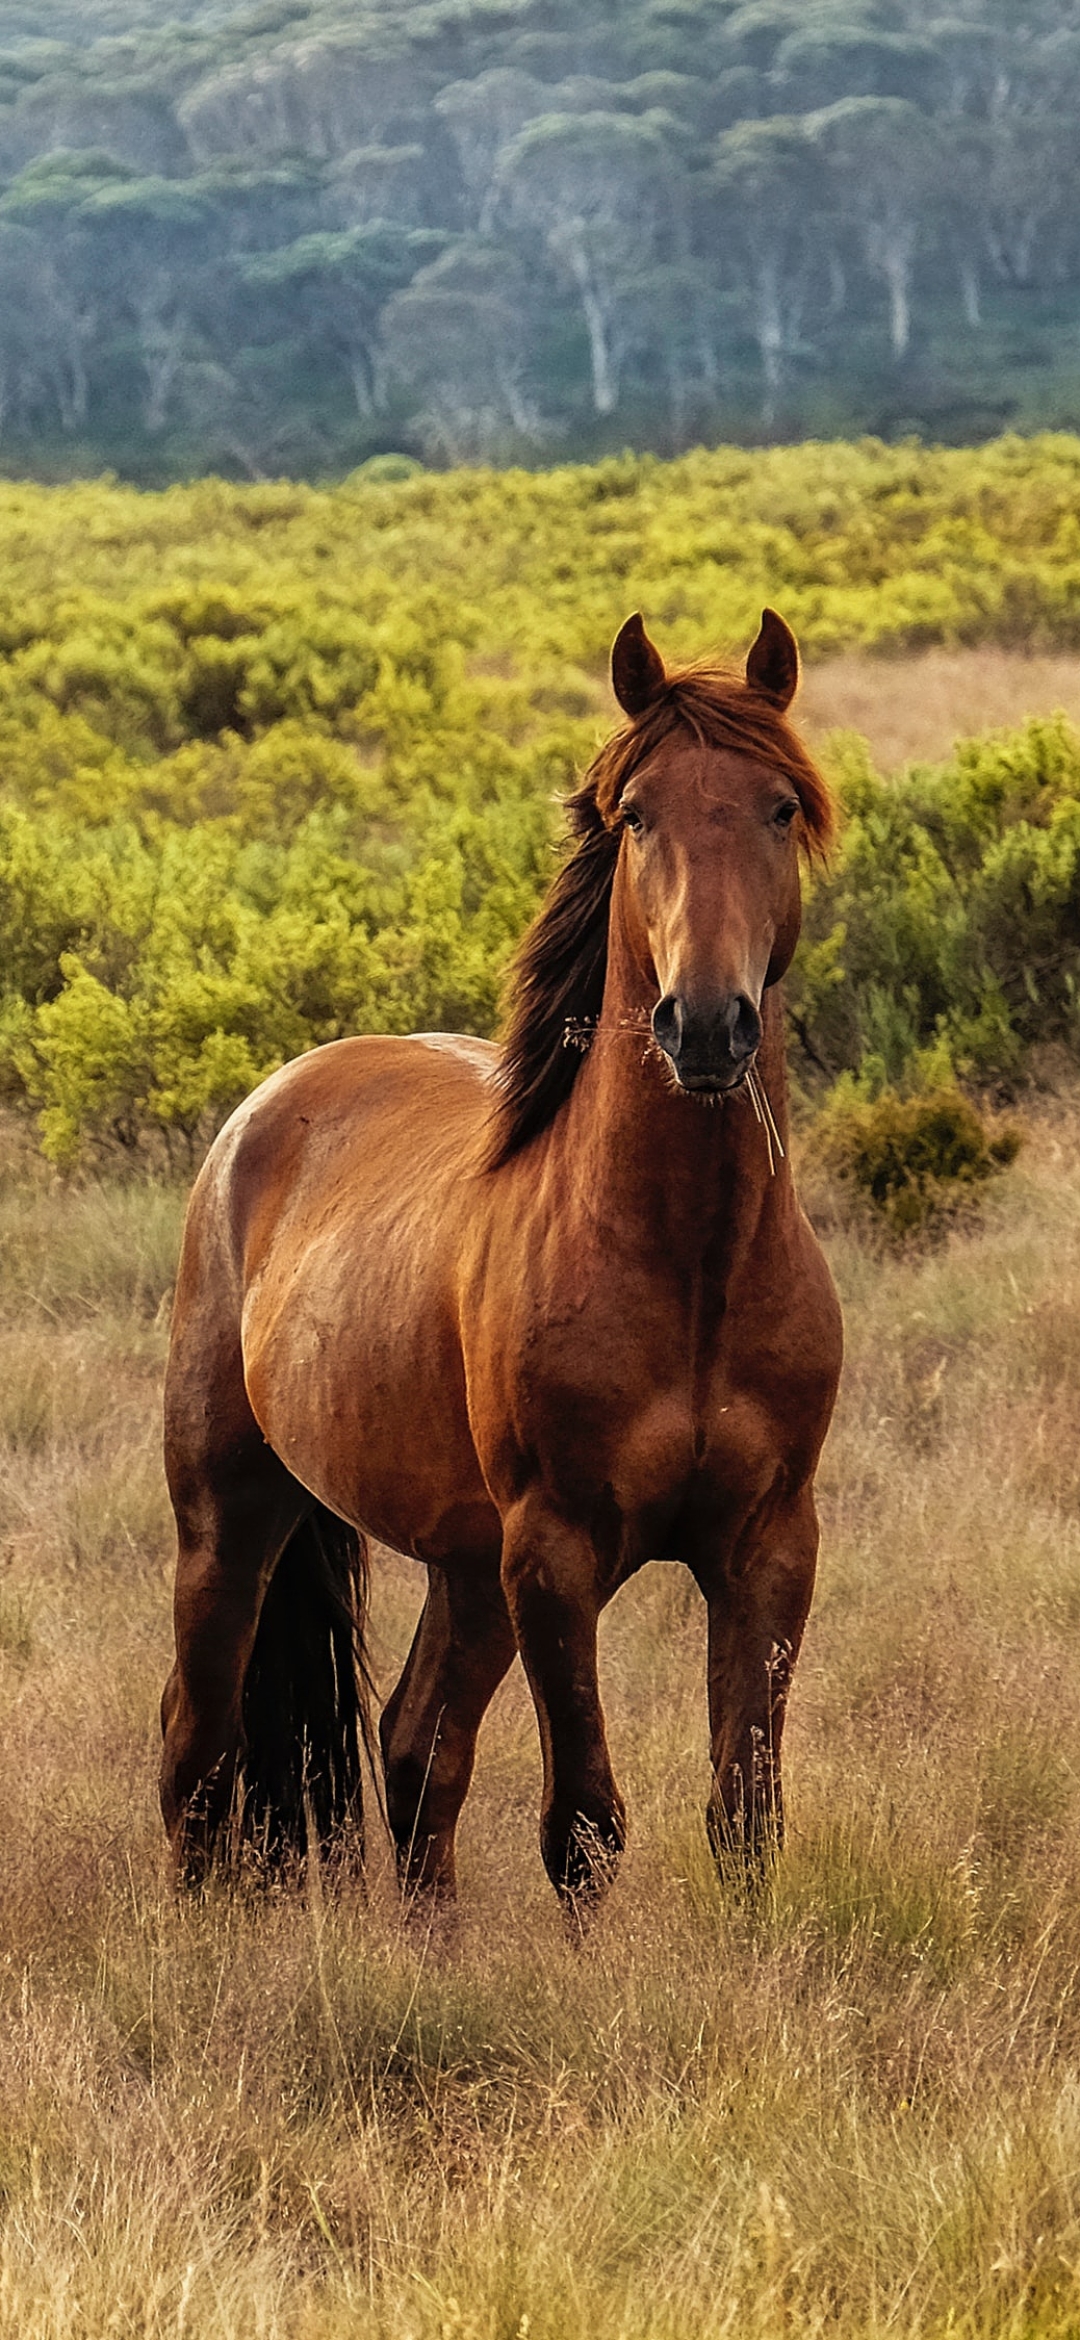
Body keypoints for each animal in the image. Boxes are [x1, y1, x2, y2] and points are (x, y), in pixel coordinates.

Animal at [157, 613, 841, 1909]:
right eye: (638, 816)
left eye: (779, 807)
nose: (706, 1025)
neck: (688, 1264)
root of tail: (263, 1110)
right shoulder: (556, 1557)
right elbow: (583, 1826)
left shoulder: (768, 1547)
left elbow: (747, 1816)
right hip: (231, 1519)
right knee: (198, 1751)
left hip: (465, 1567)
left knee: (414, 1748)